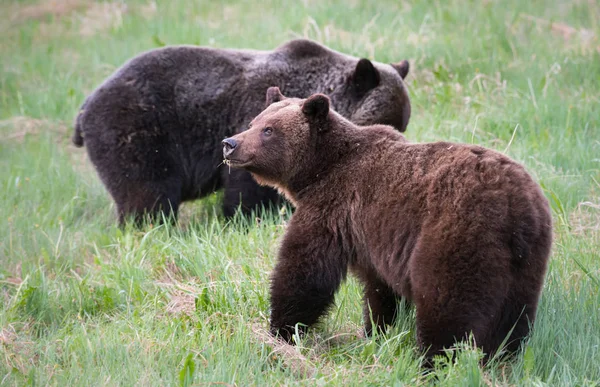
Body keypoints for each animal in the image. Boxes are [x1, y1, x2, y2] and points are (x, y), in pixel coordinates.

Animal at [69, 38, 408, 224]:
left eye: (403, 122)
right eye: (389, 120)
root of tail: (84, 105)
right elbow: (246, 188)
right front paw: (246, 218)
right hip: (137, 131)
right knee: (146, 192)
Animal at [224, 87, 552, 364]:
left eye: (269, 130)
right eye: (253, 121)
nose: (230, 144)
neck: (320, 169)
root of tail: (516, 206)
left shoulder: (332, 209)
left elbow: (305, 271)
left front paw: (281, 331)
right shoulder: (374, 238)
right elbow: (379, 291)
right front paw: (376, 331)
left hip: (457, 233)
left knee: (447, 305)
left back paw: (432, 362)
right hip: (527, 261)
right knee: (514, 317)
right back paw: (502, 358)